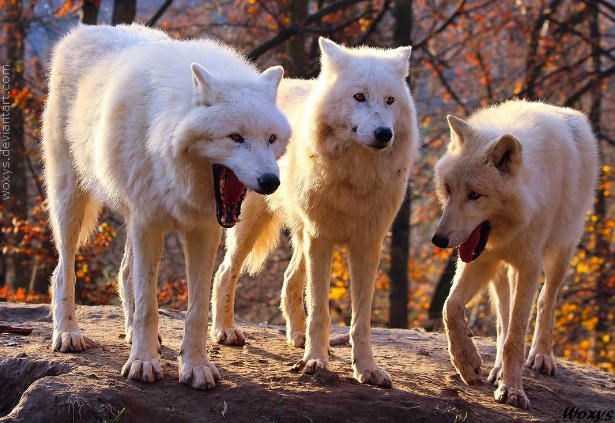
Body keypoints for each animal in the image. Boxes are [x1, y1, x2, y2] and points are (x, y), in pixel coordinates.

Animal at [42, 24, 292, 390]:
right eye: (235, 137)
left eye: (271, 138)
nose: (271, 182)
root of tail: (83, 31)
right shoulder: (149, 222)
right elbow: (149, 305)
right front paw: (143, 362)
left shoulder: (203, 230)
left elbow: (196, 309)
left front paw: (196, 366)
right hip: (71, 199)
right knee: (63, 270)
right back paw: (67, 334)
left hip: (129, 216)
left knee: (125, 272)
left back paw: (130, 332)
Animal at [211, 38, 418, 390]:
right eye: (359, 96)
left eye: (390, 100)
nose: (384, 133)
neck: (356, 177)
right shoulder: (322, 238)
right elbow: (320, 309)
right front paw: (316, 361)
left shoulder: (367, 244)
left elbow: (361, 319)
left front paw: (366, 369)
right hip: (251, 225)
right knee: (225, 272)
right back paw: (225, 331)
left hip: (302, 236)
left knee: (289, 279)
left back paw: (296, 336)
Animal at [430, 100, 600, 410]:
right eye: (448, 189)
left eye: (475, 195)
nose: (439, 240)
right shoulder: (481, 259)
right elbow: (451, 307)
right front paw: (467, 362)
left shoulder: (528, 266)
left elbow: (516, 337)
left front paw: (513, 391)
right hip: (500, 271)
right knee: (502, 318)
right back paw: (496, 368)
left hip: (560, 251)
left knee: (546, 300)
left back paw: (541, 357)